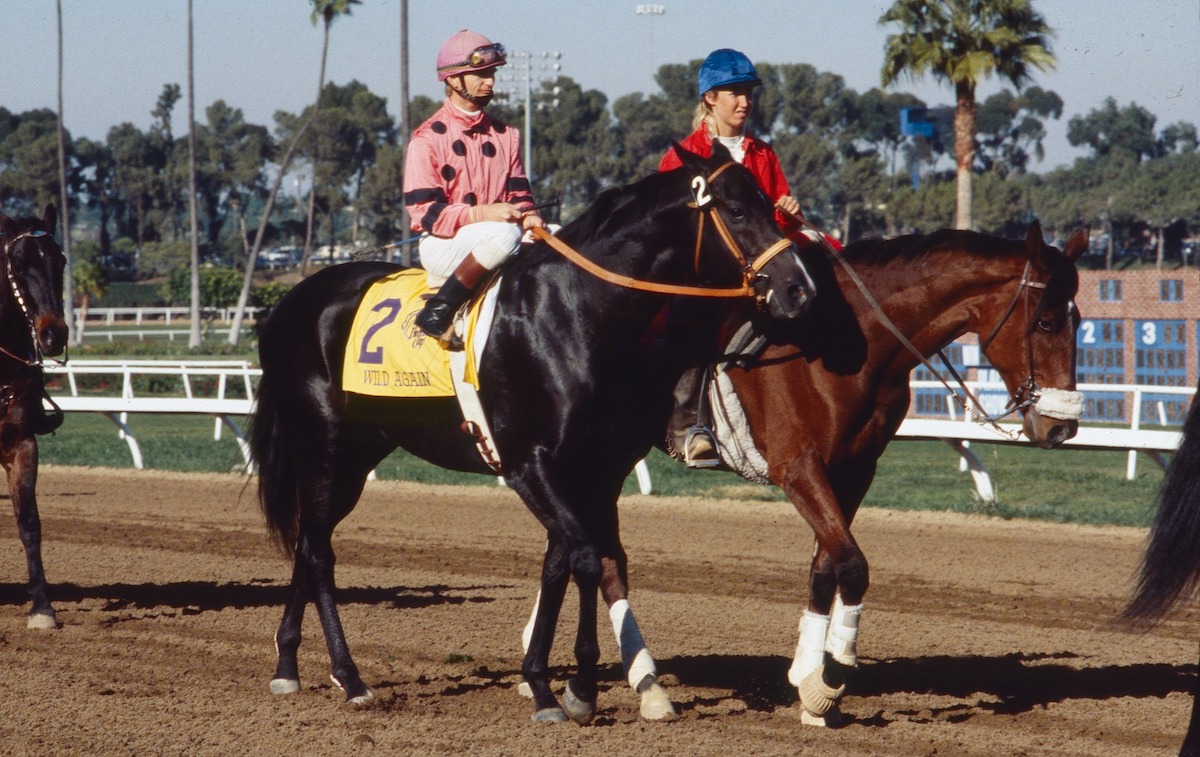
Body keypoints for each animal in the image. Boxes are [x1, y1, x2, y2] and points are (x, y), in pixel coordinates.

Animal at [252, 143, 816, 724]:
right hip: (323, 449)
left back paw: (288, 665)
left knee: (307, 543)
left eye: (771, 206)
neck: (572, 311)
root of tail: (288, 304)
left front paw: (547, 682)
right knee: (320, 553)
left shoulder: (595, 469)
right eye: (737, 210)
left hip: (358, 457)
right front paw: (575, 689)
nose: (799, 289)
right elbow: (585, 558)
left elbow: (561, 565)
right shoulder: (530, 464)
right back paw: (350, 677)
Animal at [544, 219, 1089, 724]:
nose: (1061, 426)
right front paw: (829, 678)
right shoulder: (799, 467)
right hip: (600, 457)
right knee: (603, 557)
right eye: (1045, 322)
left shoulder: (854, 469)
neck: (848, 343)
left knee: (572, 547)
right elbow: (852, 564)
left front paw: (808, 680)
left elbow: (825, 567)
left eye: (1078, 319)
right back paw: (639, 685)